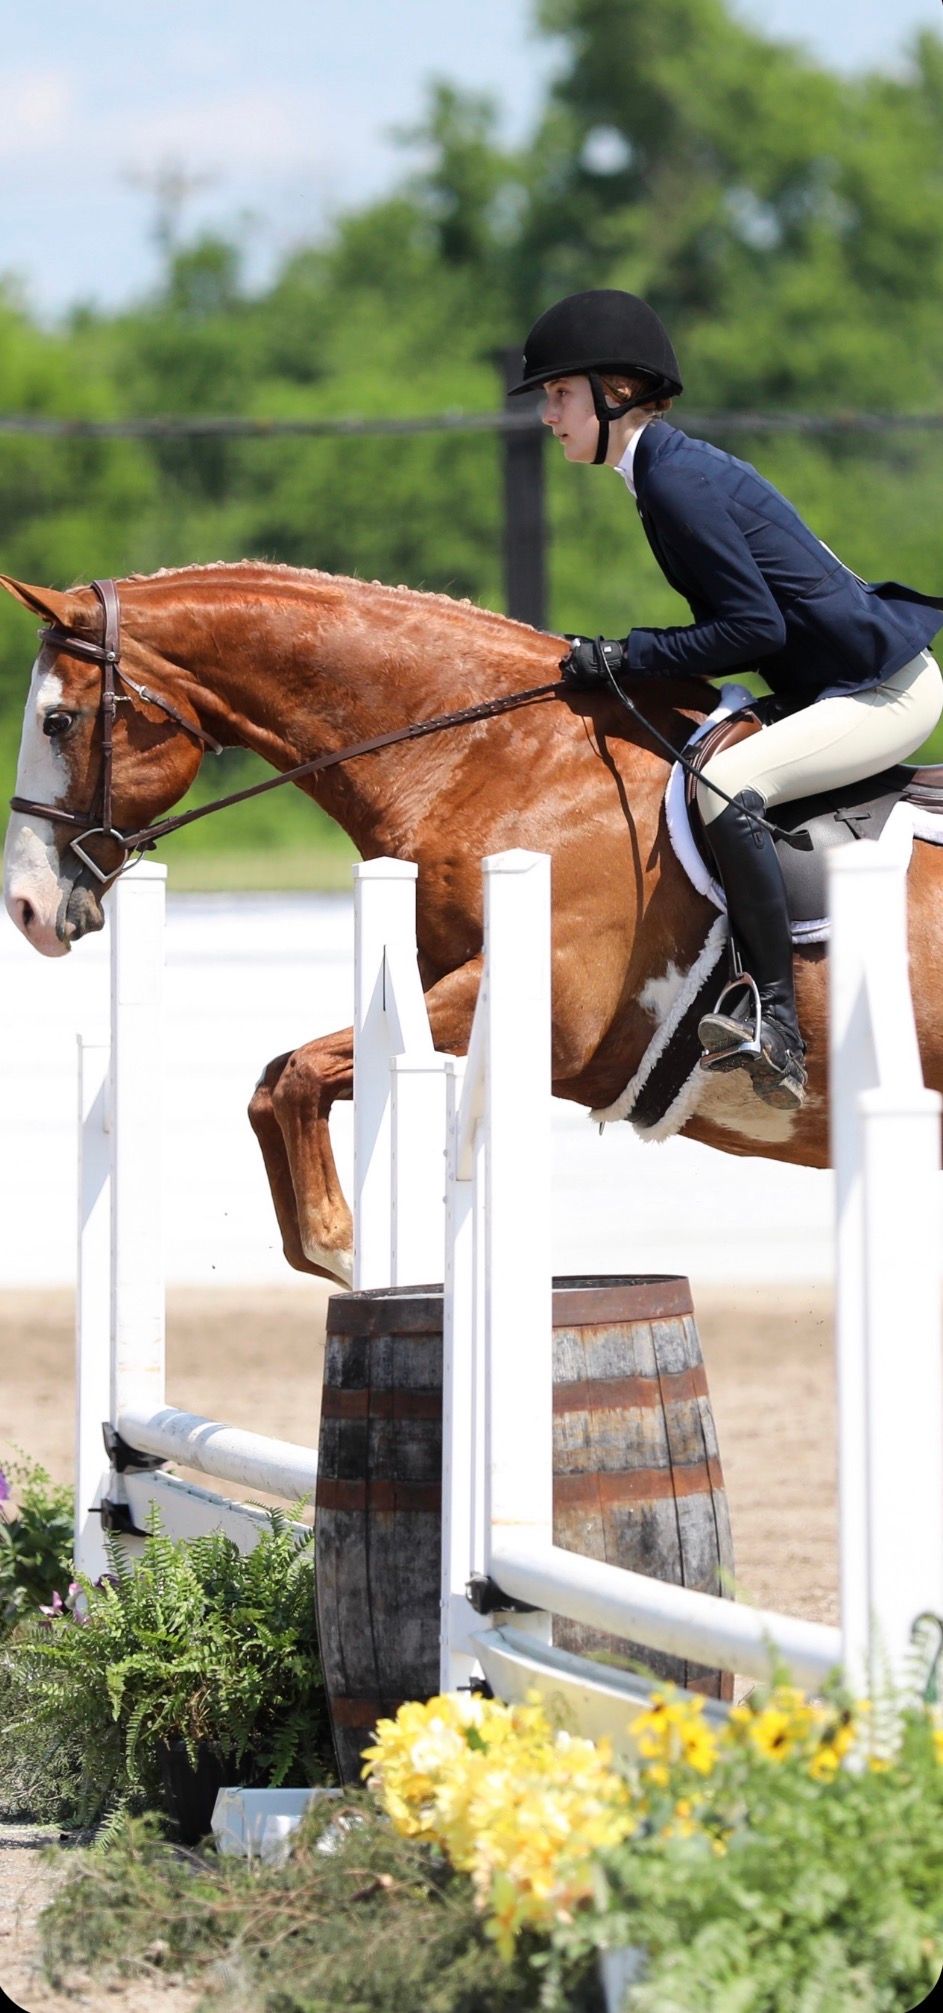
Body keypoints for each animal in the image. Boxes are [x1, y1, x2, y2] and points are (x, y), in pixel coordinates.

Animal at [4, 562, 943, 1286]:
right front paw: (339, 1252)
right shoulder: (440, 990)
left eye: (59, 720)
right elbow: (277, 1079)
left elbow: (301, 1074)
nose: (27, 908)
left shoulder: (554, 1014)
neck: (490, 756)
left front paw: (349, 1252)